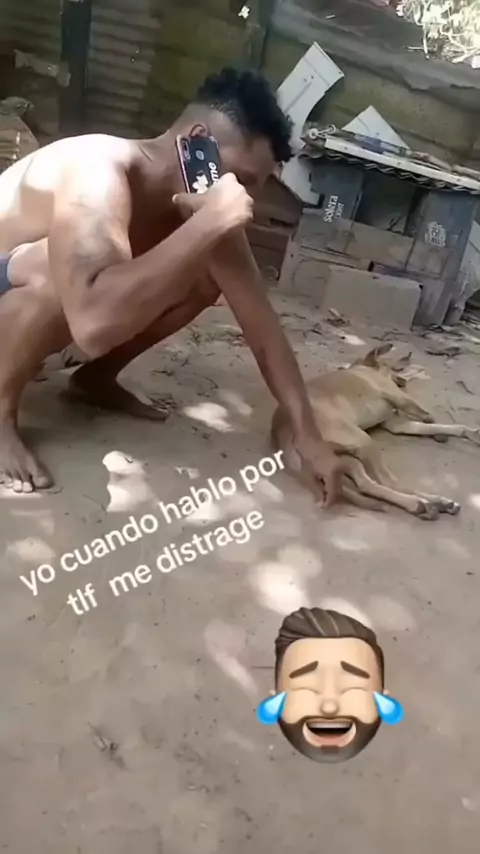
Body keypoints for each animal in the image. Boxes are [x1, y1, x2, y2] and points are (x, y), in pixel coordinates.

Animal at [271, 344, 480, 520]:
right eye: (392, 366)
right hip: (362, 441)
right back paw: (422, 504)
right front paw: (442, 431)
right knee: (388, 481)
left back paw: (437, 502)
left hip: (340, 459)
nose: (403, 379)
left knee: (367, 484)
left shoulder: (395, 423)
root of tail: (282, 432)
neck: (366, 368)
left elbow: (432, 426)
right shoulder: (399, 397)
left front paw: (464, 432)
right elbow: (427, 415)